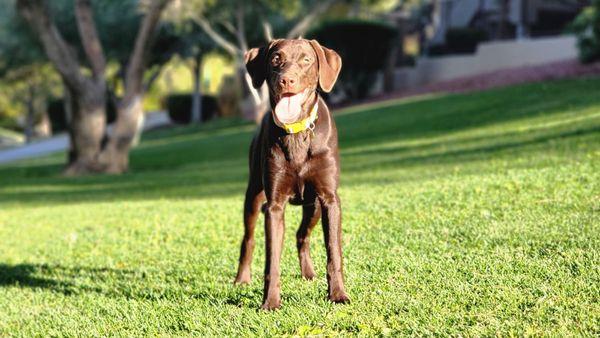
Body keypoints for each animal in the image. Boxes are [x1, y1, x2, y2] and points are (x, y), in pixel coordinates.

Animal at [233, 39, 350, 308]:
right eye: (276, 58)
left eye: (306, 60)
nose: (287, 80)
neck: (296, 131)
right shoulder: (274, 205)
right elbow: (272, 261)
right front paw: (270, 302)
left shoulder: (329, 199)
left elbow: (334, 253)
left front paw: (338, 295)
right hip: (253, 195)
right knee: (249, 238)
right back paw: (241, 279)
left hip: (314, 205)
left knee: (301, 235)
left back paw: (308, 273)